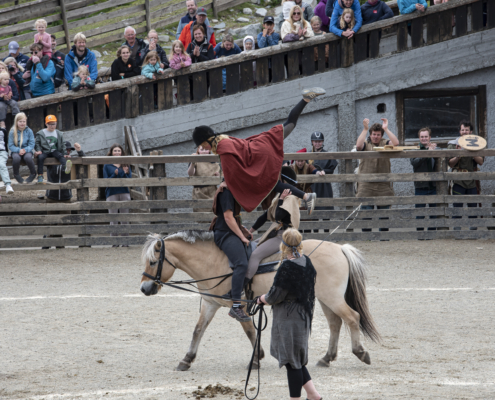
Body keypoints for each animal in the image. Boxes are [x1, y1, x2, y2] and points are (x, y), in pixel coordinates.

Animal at [141, 231, 382, 372]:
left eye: (153, 262)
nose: (144, 288)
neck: (214, 261)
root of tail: (340, 248)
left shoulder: (239, 306)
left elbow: (249, 331)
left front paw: (257, 358)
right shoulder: (210, 304)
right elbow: (198, 330)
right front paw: (187, 359)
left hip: (332, 298)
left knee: (352, 318)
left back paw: (360, 352)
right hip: (325, 298)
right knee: (335, 323)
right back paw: (326, 358)